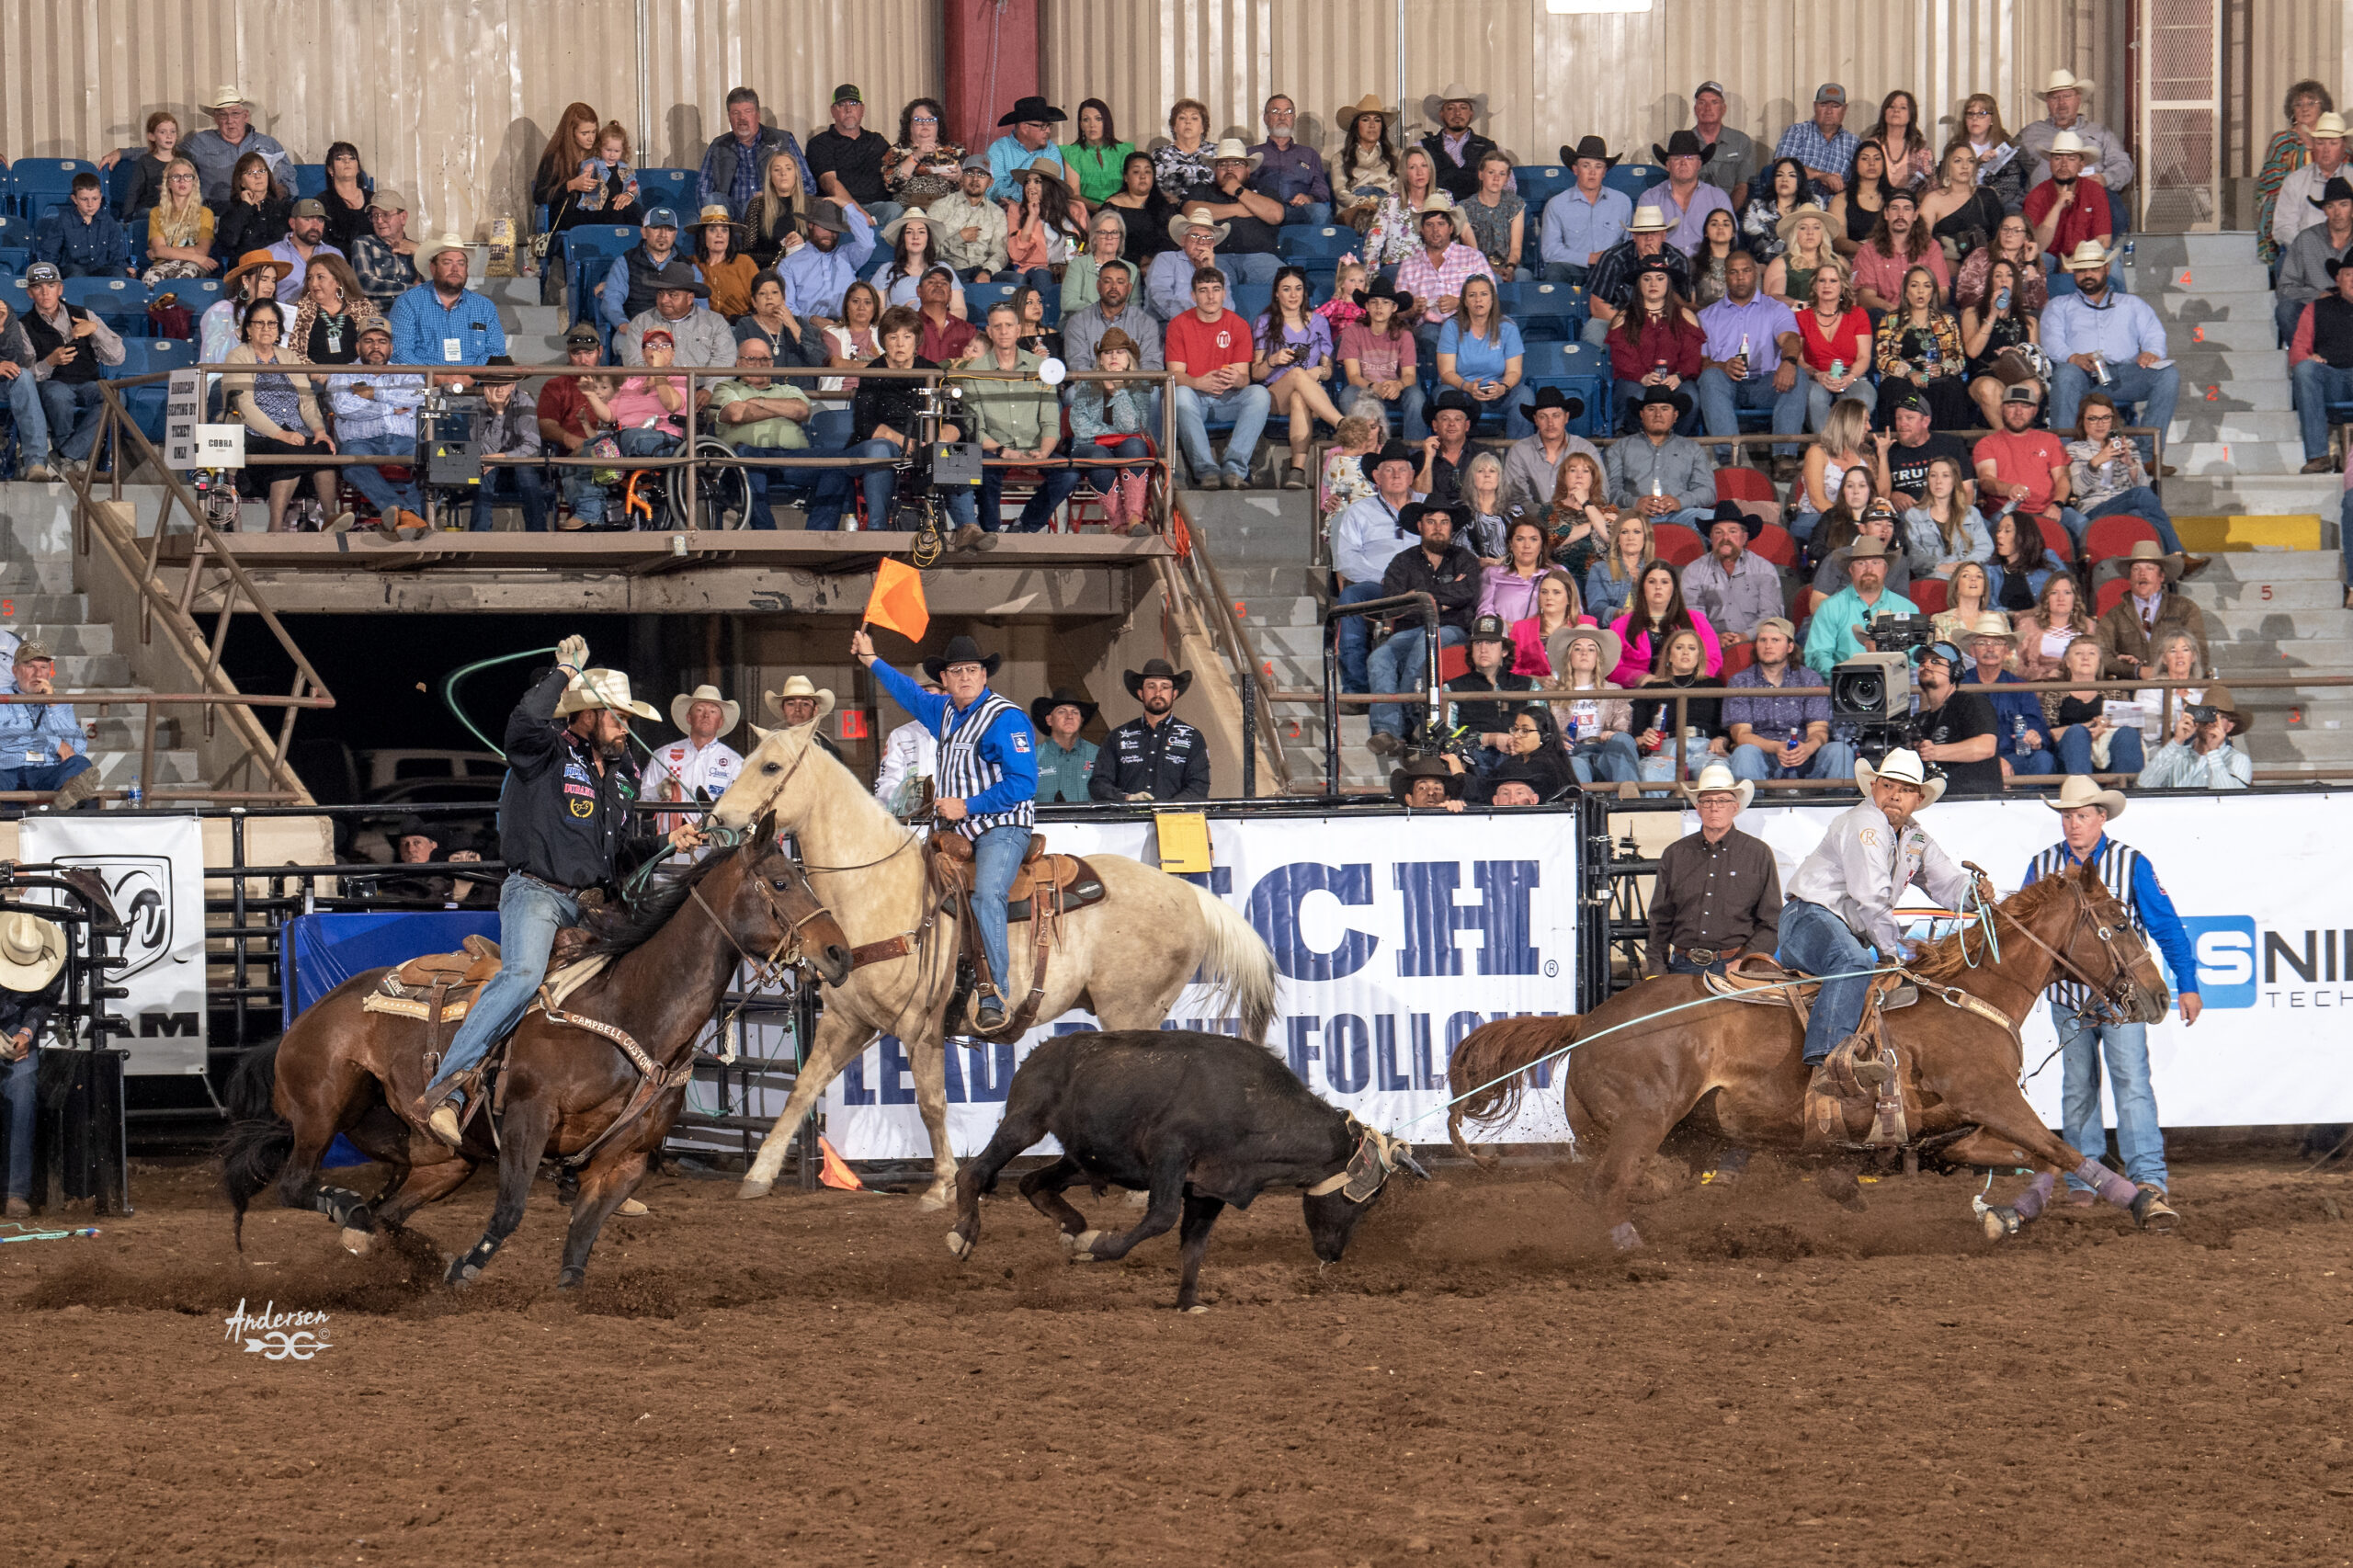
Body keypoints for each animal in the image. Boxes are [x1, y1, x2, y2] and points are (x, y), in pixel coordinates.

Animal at [221, 819, 856, 1280]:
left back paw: (375, 1236)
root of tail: (306, 1018)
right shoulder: (528, 1117)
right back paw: (349, 1209)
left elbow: (578, 1247)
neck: (630, 1009)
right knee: (297, 1184)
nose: (839, 953)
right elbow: (509, 1211)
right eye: (780, 883)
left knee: (388, 1212)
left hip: (437, 1155)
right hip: (322, 1107)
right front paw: (465, 1268)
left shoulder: (627, 1159)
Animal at [706, 715, 1279, 1200]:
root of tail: (1189, 893)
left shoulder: (921, 1025)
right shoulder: (846, 1021)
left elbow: (932, 1103)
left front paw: (941, 1186)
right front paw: (758, 1176)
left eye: (770, 766)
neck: (876, 889)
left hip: (1131, 1009)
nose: (717, 817)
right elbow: (802, 1090)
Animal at [1439, 857, 2174, 1243]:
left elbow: (2040, 1158)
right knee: (1608, 1189)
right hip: (1642, 1122)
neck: (1968, 992)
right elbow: (2062, 1149)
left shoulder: (1959, 1129)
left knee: (1626, 1182)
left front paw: (2003, 1216)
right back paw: (1632, 1248)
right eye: (2117, 924)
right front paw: (2148, 1204)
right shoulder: (1989, 1096)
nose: (2160, 997)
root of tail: (1591, 1021)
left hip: (1658, 1130)